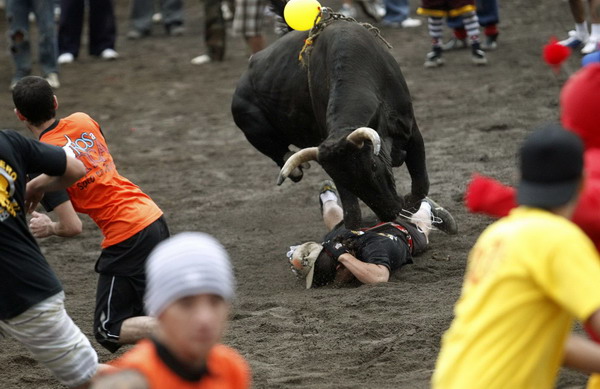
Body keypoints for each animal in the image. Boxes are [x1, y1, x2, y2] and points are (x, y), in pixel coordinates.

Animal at [231, 13, 432, 229]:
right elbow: (352, 213)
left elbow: (421, 185)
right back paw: (294, 167)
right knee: (277, 152)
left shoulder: (411, 131)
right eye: (343, 181)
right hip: (252, 128)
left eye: (373, 165)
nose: (390, 213)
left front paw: (408, 204)